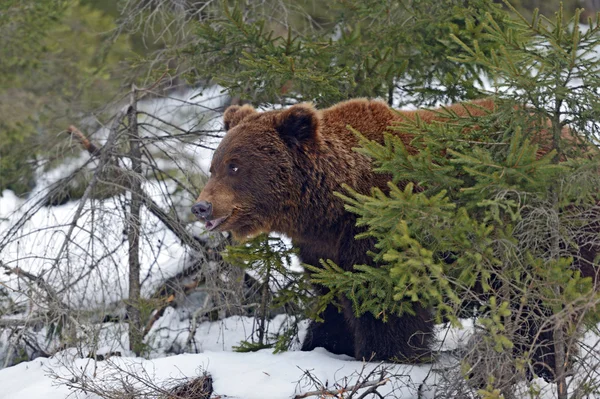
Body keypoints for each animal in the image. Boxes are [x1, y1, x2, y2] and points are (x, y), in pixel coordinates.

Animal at [191, 98, 506, 364]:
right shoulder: (322, 249)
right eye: (213, 167)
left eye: (234, 166)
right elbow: (333, 299)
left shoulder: (380, 230)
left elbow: (384, 305)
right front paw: (323, 344)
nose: (201, 207)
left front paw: (389, 354)